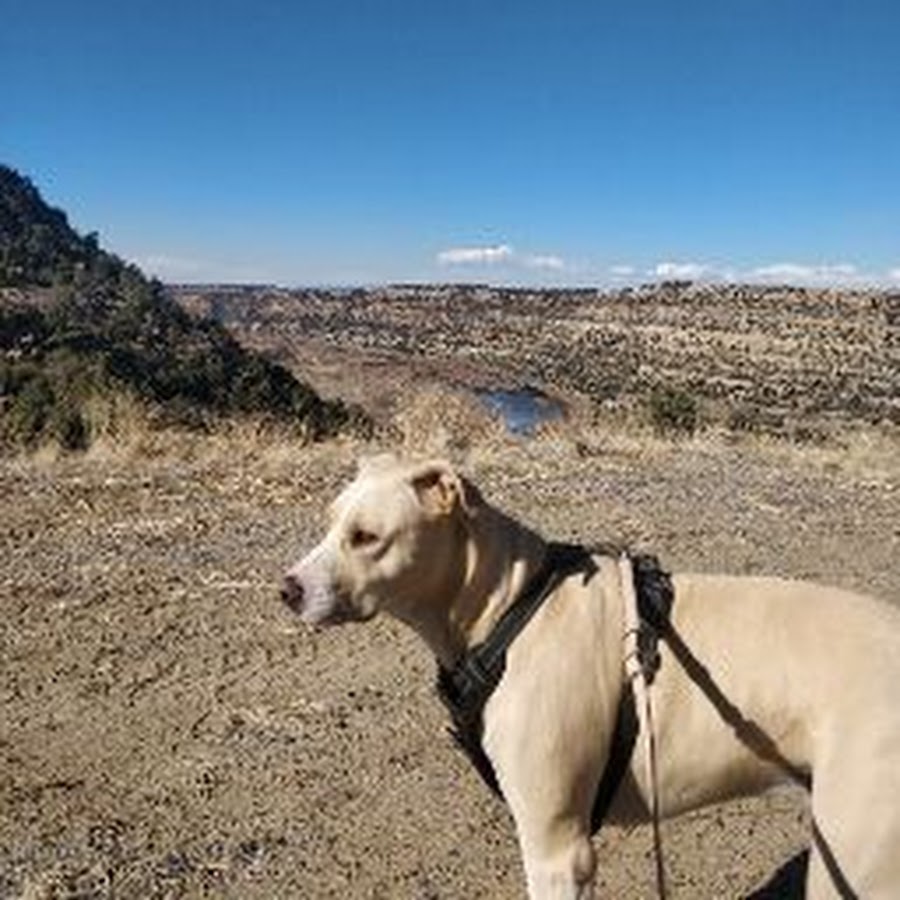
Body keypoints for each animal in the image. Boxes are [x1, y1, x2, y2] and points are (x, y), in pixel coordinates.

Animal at [281, 454, 900, 899]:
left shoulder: (558, 851)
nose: (286, 589)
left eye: (365, 536)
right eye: (330, 524)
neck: (510, 608)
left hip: (850, 871)